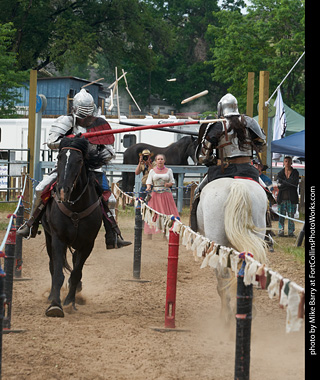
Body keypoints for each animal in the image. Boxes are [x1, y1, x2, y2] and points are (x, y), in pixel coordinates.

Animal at [41, 137, 104, 318]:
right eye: (59, 157)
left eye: (80, 160)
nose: (63, 191)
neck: (75, 207)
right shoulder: (58, 239)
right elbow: (58, 273)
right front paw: (55, 305)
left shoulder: (87, 244)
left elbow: (76, 273)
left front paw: (69, 302)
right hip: (48, 238)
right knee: (52, 265)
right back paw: (50, 296)